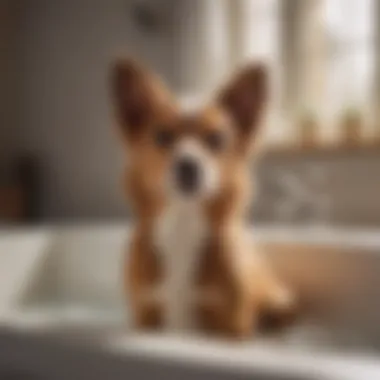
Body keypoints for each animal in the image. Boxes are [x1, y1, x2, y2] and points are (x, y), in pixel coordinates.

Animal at [108, 58, 296, 338]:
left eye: (216, 139)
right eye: (162, 136)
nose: (188, 166)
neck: (183, 223)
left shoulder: (232, 325)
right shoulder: (144, 315)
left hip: (280, 305)